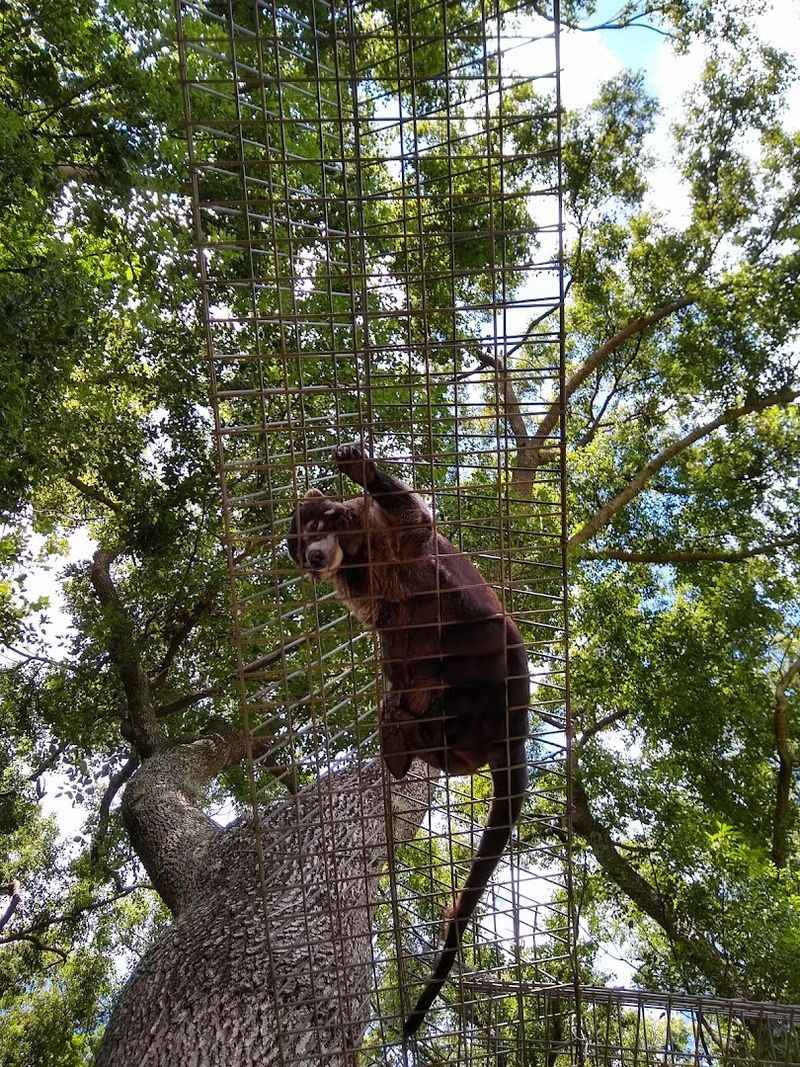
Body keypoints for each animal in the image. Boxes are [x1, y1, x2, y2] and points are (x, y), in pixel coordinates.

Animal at [287, 443, 530, 1038]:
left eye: (315, 527)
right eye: (298, 549)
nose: (314, 558)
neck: (356, 555)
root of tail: (513, 735)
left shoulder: (393, 533)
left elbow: (412, 515)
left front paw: (363, 469)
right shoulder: (363, 591)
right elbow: (387, 623)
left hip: (496, 652)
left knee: (468, 636)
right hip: (456, 727)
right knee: (417, 680)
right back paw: (402, 736)